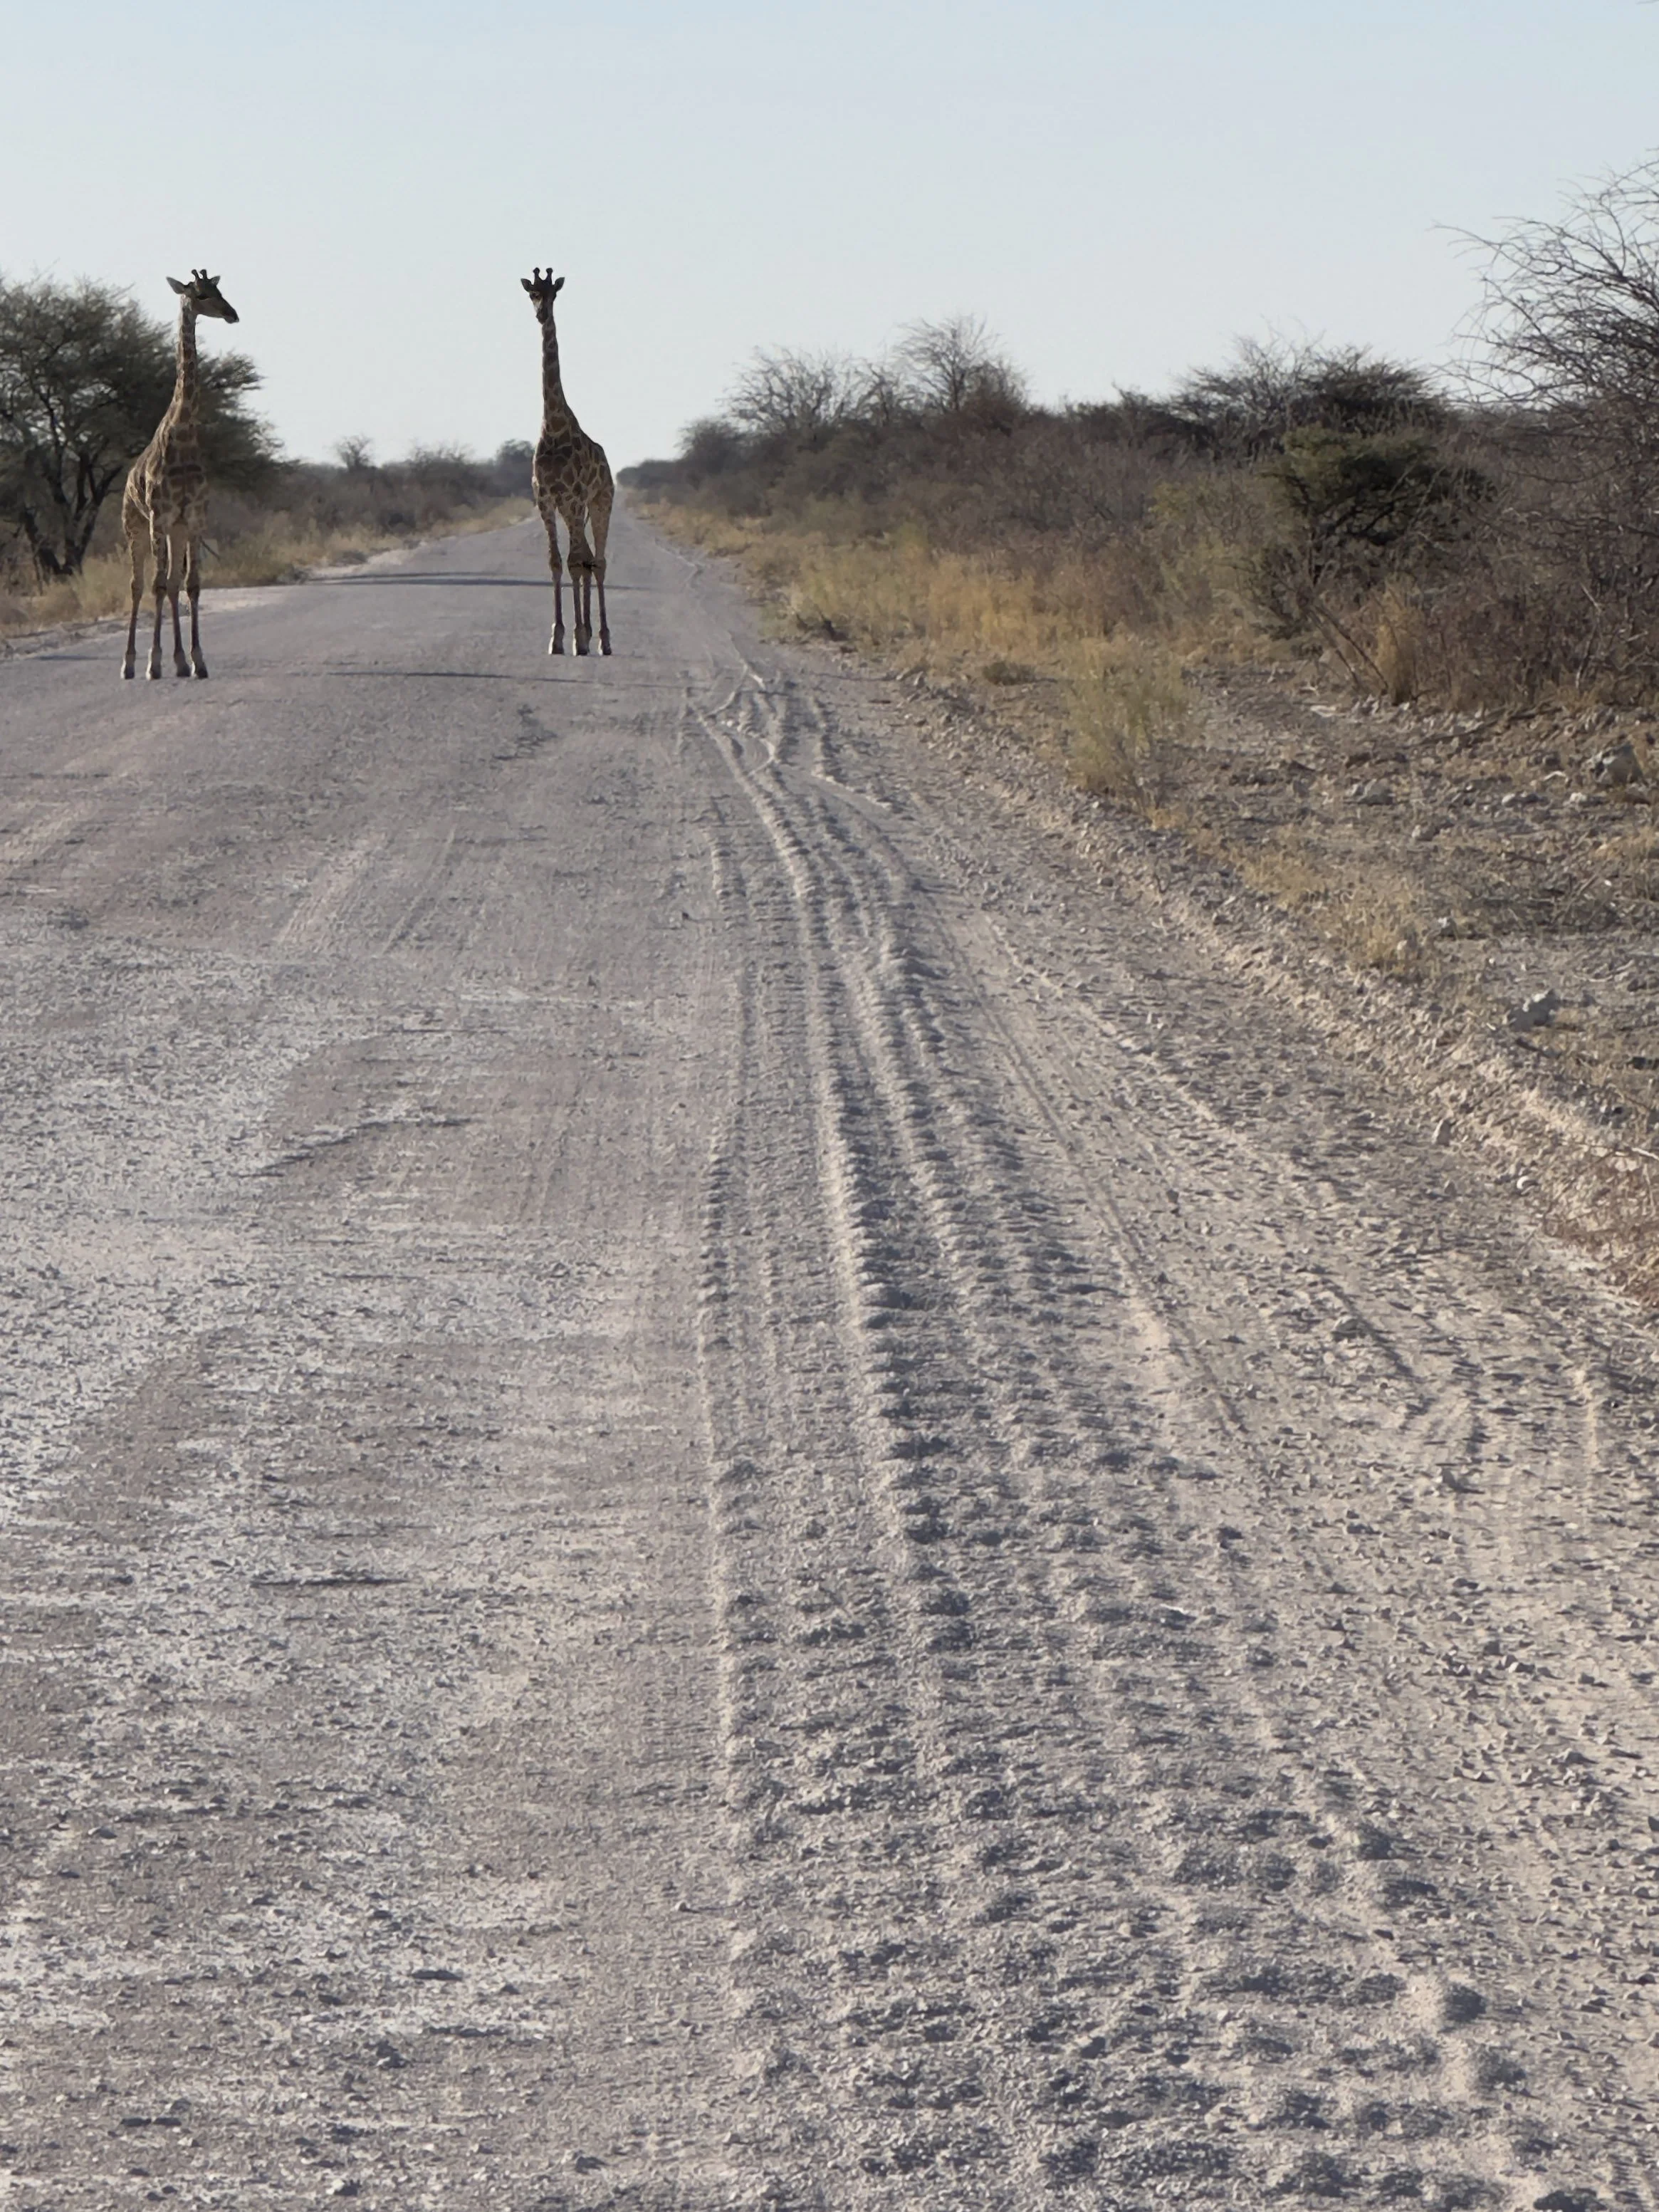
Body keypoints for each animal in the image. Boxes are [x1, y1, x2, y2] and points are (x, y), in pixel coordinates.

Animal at [121, 270, 240, 681]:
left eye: (221, 289)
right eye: (200, 294)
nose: (232, 314)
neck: (184, 433)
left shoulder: (194, 518)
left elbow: (191, 585)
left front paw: (197, 660)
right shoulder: (159, 517)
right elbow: (155, 586)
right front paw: (152, 664)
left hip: (174, 530)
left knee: (172, 584)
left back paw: (179, 662)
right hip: (135, 526)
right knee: (138, 584)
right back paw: (130, 664)